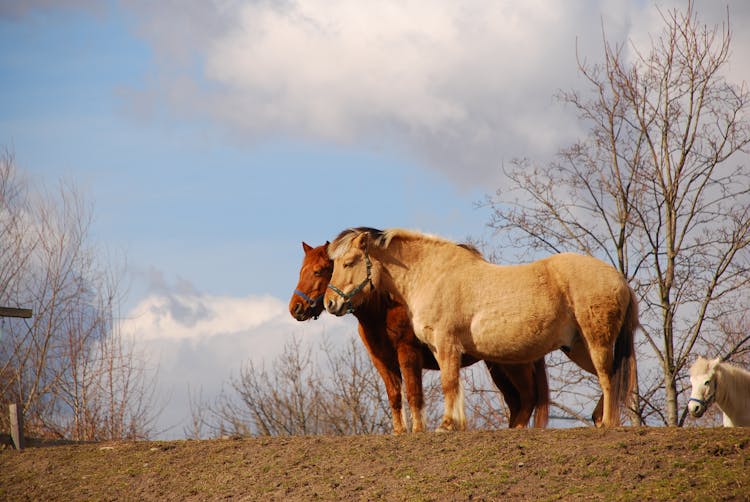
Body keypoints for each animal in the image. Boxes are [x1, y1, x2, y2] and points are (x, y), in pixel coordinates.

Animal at [290, 241, 548, 434]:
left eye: (319, 271)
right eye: (301, 271)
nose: (295, 308)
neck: (385, 307)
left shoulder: (408, 353)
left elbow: (414, 393)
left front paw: (417, 430)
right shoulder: (382, 361)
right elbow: (394, 395)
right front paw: (399, 432)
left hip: (514, 365)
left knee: (528, 398)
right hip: (498, 366)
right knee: (516, 402)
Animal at [324, 227, 640, 428]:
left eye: (348, 262)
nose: (329, 303)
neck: (433, 274)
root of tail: (620, 280)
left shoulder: (446, 343)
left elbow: (448, 383)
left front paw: (447, 425)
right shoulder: (439, 349)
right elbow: (450, 384)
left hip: (596, 340)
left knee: (607, 376)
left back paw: (607, 422)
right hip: (576, 347)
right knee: (612, 375)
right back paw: (598, 419)